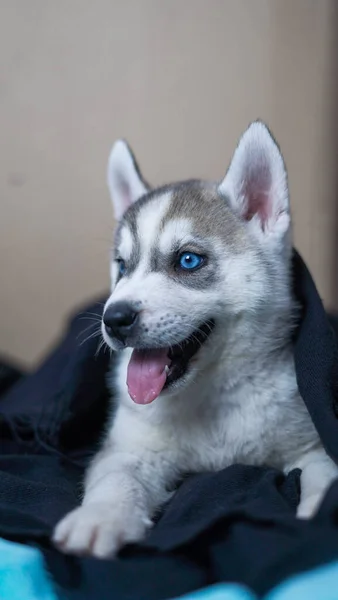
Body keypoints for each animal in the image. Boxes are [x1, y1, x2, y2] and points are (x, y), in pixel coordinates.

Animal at [53, 120, 338, 556]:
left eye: (188, 261)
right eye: (122, 266)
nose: (114, 319)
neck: (212, 395)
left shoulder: (313, 445)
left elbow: (322, 477)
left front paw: (318, 516)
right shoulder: (131, 449)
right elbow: (116, 479)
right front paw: (99, 518)